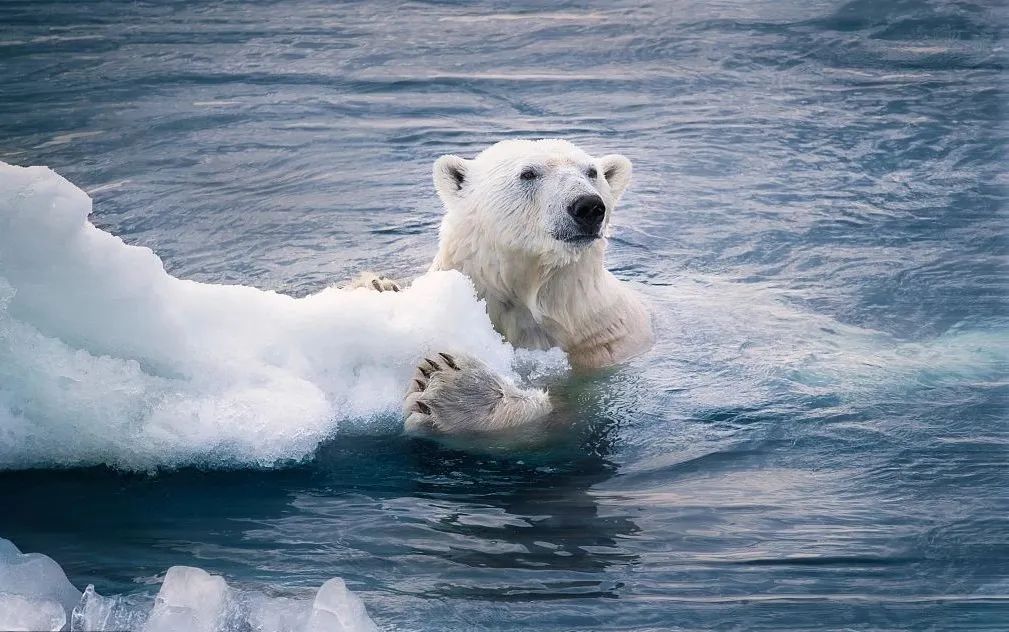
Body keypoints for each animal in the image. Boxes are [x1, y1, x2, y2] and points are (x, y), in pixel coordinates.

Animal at [355, 139, 653, 438]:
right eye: (528, 173)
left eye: (592, 172)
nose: (588, 206)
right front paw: (376, 288)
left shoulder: (602, 348)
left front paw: (457, 389)